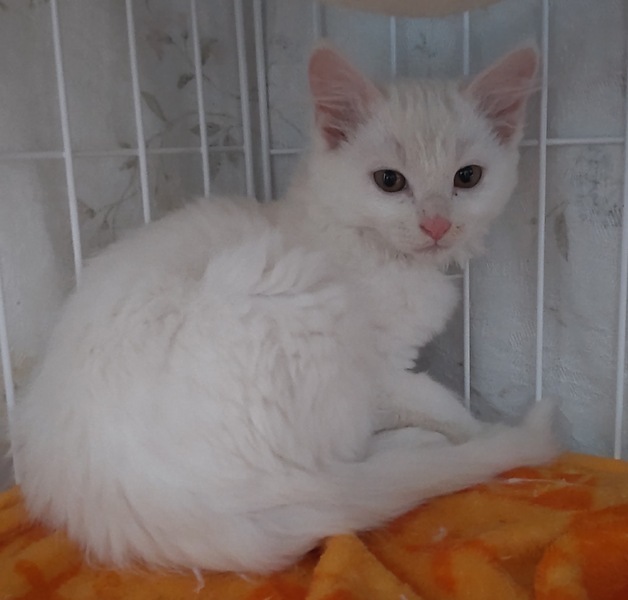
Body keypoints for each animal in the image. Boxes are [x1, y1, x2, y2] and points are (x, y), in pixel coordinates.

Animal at [12, 43, 558, 574]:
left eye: (468, 177)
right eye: (389, 181)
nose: (437, 225)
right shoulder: (381, 368)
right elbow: (443, 403)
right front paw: (486, 431)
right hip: (303, 310)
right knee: (339, 463)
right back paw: (416, 445)